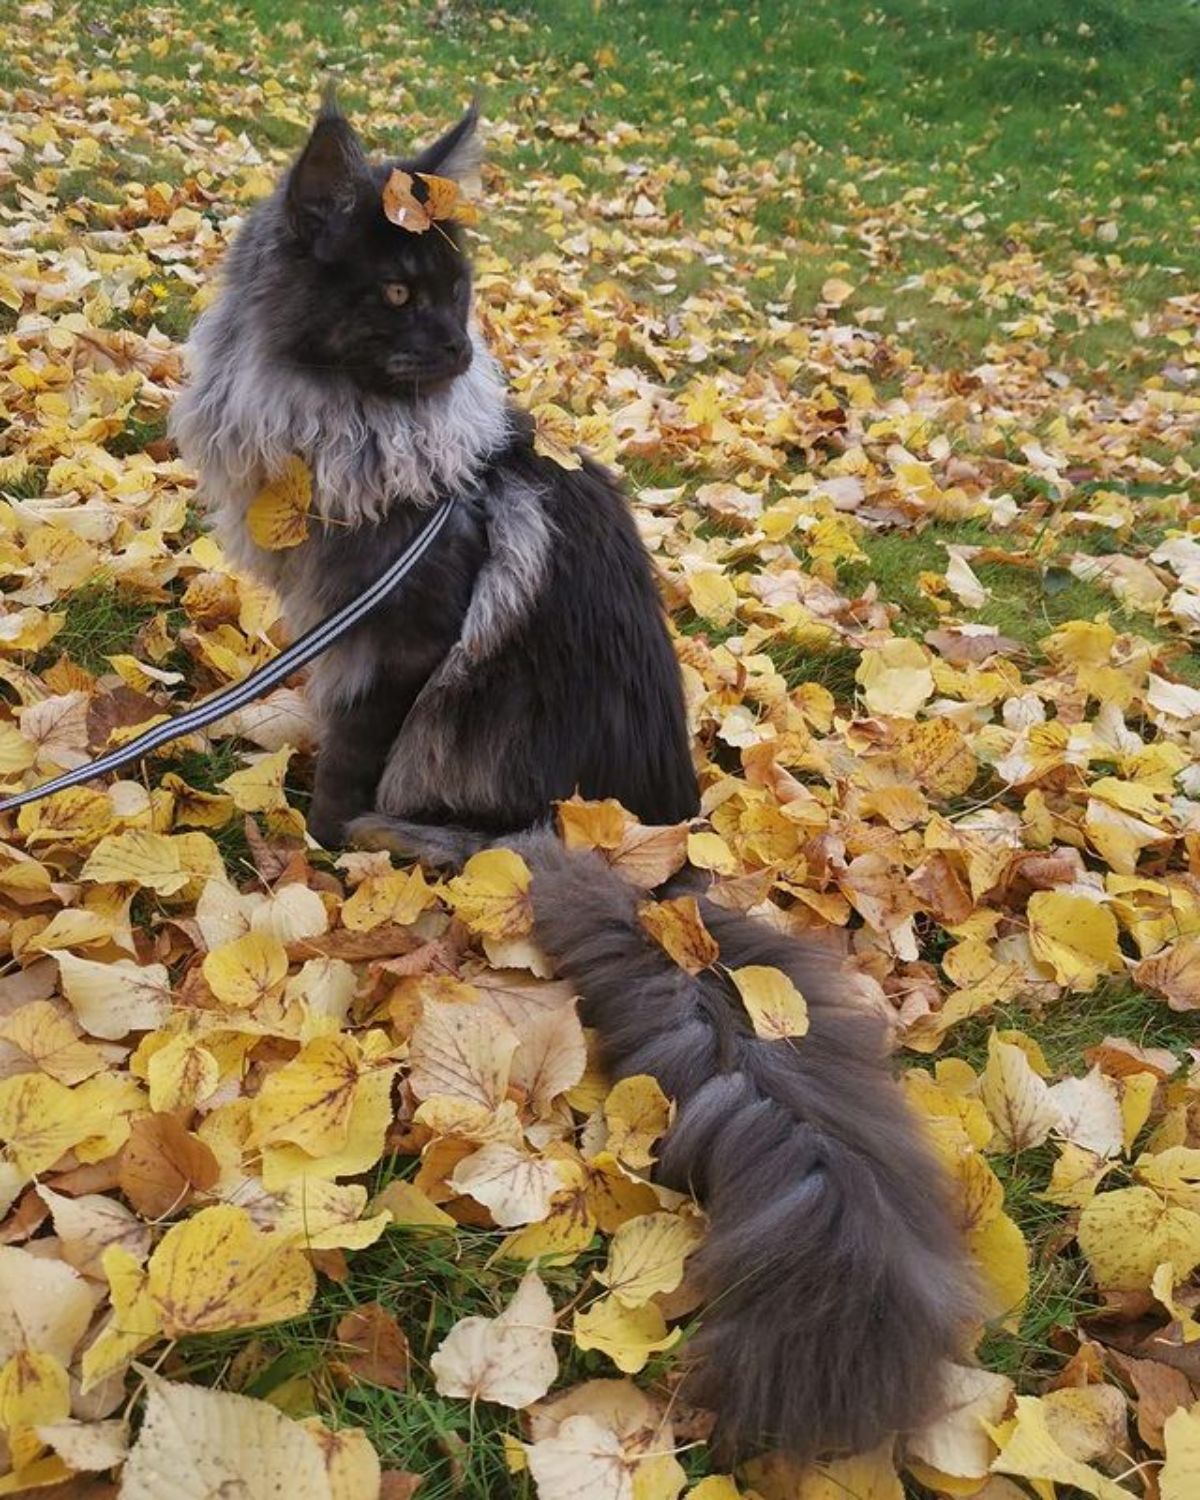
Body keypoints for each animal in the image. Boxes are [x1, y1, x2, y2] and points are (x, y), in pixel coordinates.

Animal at [171, 96, 972, 1464]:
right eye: (400, 293)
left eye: (461, 295)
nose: (452, 353)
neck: (348, 433)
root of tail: (658, 867)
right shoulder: (333, 627)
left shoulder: (396, 644)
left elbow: (345, 769)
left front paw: (322, 839)